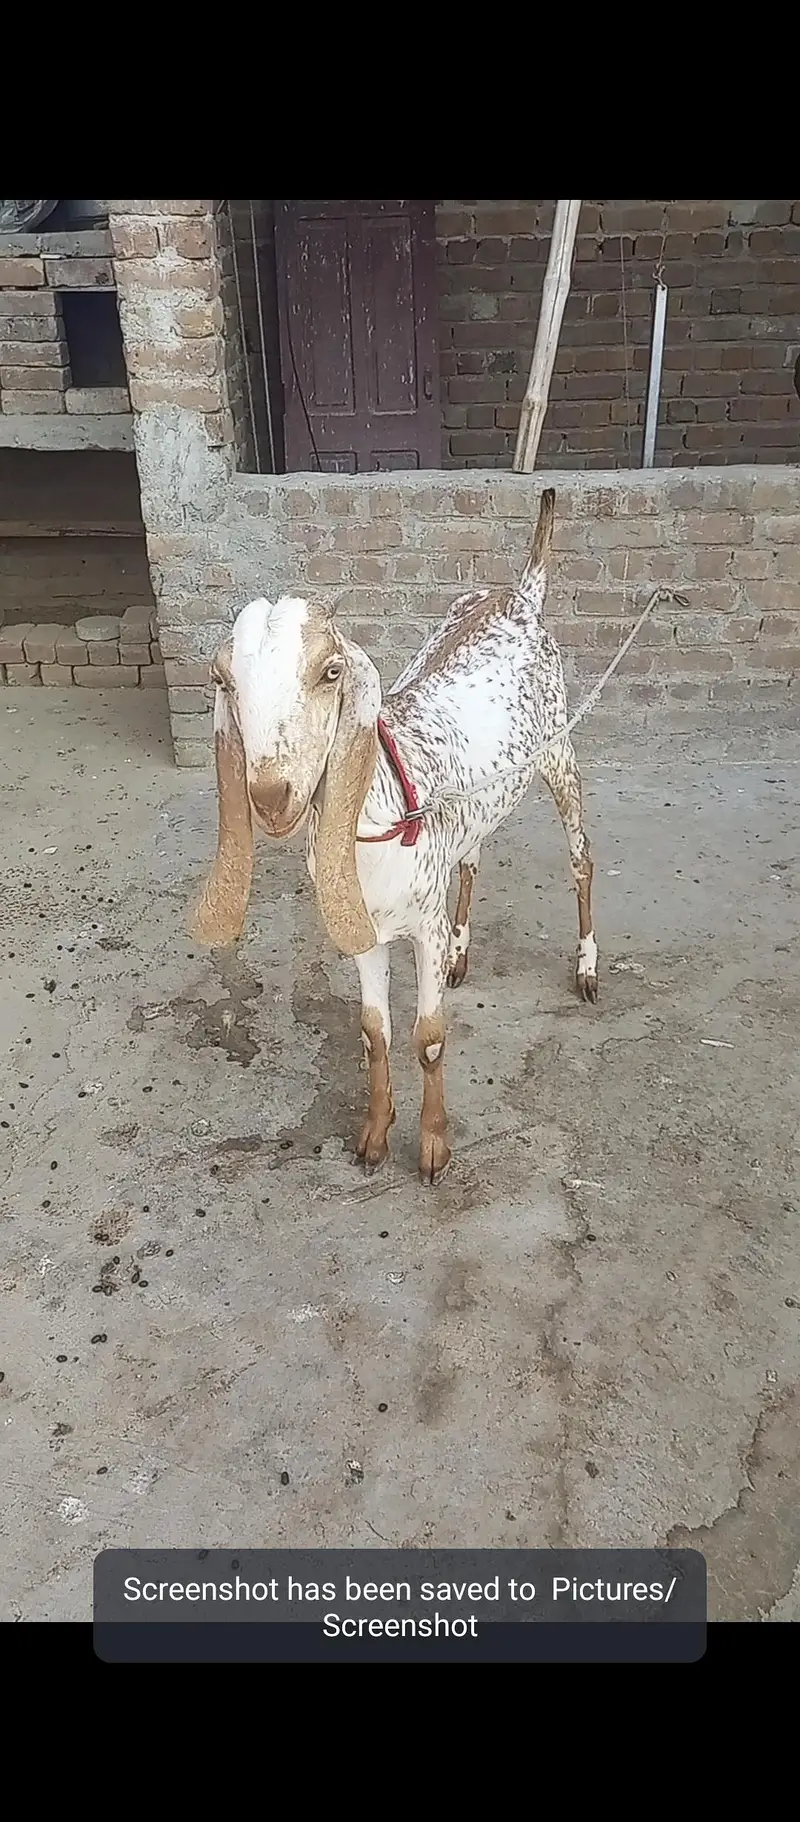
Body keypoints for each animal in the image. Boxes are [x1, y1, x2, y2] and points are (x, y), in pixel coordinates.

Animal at [190, 488, 598, 1183]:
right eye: (224, 680)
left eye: (331, 672)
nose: (270, 796)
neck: (378, 823)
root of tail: (521, 593)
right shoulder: (367, 930)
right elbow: (373, 1031)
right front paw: (374, 1136)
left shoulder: (421, 930)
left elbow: (427, 1038)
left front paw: (433, 1148)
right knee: (471, 860)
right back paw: (463, 952)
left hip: (557, 752)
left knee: (581, 857)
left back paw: (587, 967)